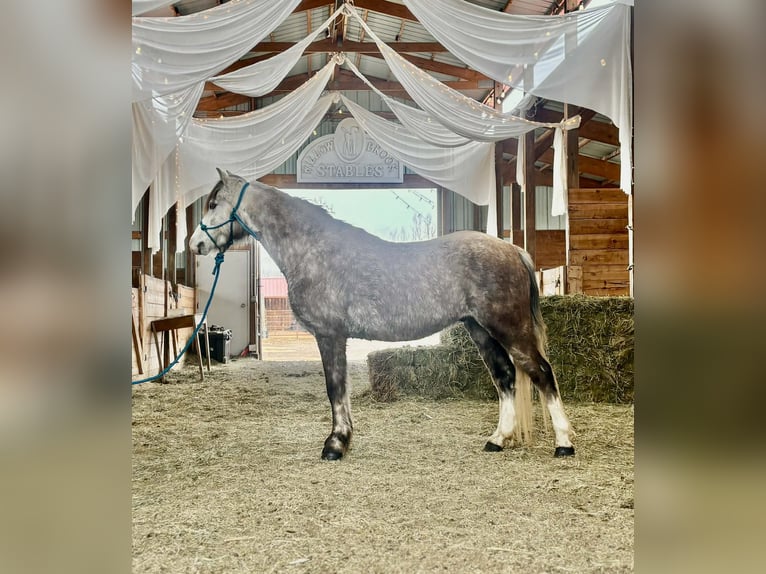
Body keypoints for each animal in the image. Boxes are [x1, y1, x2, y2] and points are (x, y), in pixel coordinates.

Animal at [189, 169, 575, 461]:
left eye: (213, 204)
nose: (195, 244)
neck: (313, 251)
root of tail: (512, 249)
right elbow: (339, 390)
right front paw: (343, 440)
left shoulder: (330, 335)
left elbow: (335, 388)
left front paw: (335, 444)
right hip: (480, 329)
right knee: (506, 376)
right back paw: (497, 440)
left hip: (509, 327)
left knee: (542, 373)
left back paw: (564, 444)